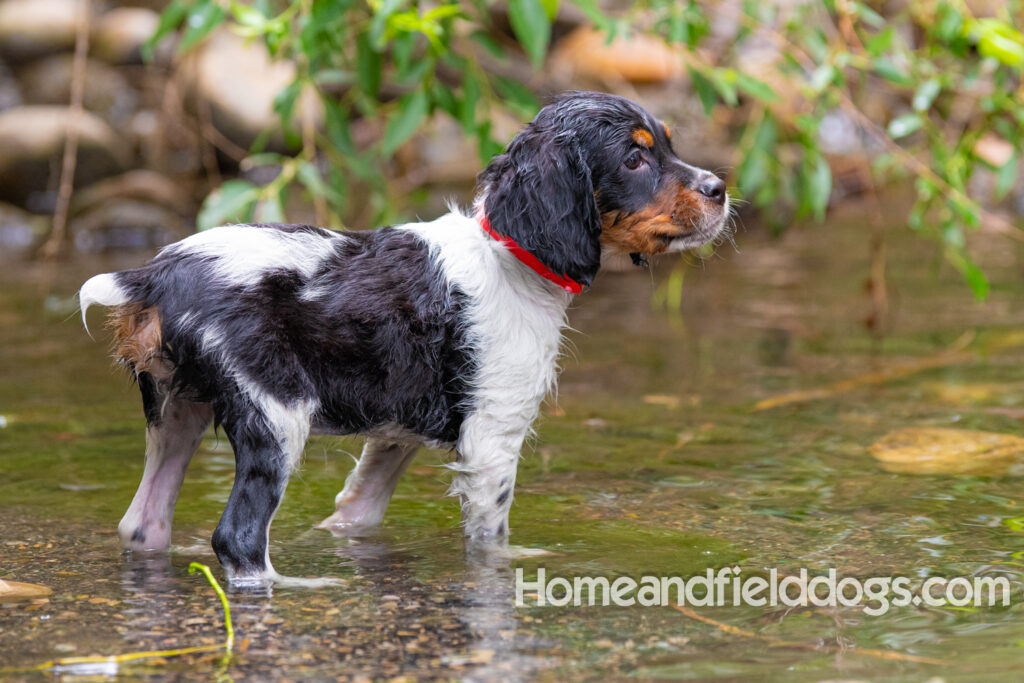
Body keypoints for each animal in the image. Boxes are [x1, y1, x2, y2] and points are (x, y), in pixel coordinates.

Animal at [79, 89, 729, 581]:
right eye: (634, 160)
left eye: (668, 145)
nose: (720, 189)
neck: (508, 255)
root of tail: (156, 275)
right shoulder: (492, 439)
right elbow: (489, 541)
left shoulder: (397, 432)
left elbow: (357, 511)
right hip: (276, 413)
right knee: (237, 538)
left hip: (176, 412)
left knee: (142, 524)